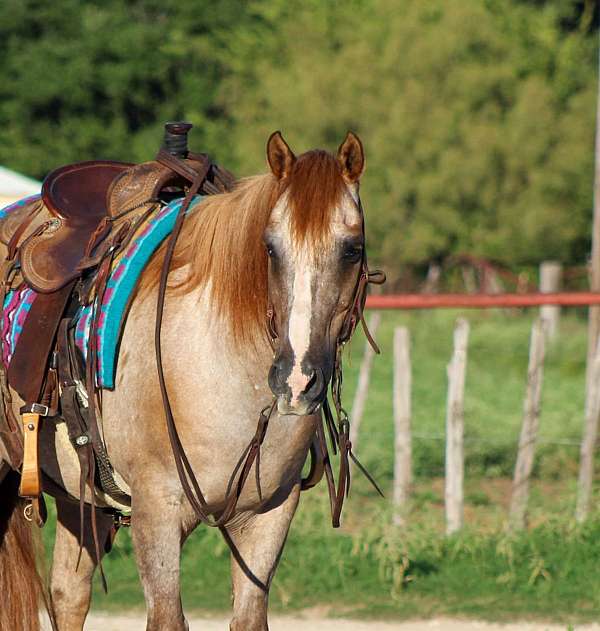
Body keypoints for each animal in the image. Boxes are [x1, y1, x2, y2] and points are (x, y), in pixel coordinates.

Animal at [0, 130, 376, 631]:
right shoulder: (157, 512)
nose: (297, 380)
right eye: (270, 247)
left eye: (351, 249)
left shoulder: (270, 516)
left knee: (67, 594)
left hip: (79, 498)